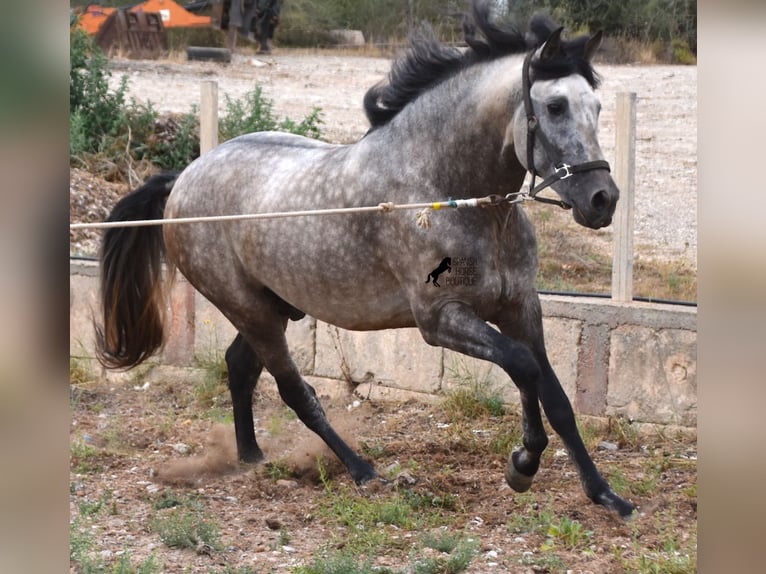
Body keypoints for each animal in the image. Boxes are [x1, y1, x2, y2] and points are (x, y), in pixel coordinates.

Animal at [96, 0, 636, 520]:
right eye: (554, 105)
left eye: (597, 106)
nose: (602, 200)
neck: (453, 195)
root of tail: (183, 180)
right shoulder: (440, 319)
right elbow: (524, 369)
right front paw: (522, 465)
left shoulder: (521, 308)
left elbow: (557, 399)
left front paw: (606, 496)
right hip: (248, 309)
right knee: (294, 390)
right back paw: (361, 470)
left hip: (273, 308)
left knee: (240, 368)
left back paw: (251, 458)